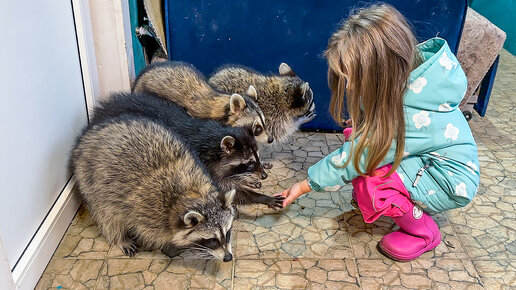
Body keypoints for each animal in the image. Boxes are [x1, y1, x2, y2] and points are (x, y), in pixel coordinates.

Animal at [70, 115, 236, 260]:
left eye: (228, 233)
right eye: (211, 240)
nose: (228, 258)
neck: (193, 193)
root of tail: (89, 133)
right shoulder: (147, 211)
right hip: (90, 178)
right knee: (106, 213)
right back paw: (119, 237)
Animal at [91, 92, 284, 207]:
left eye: (257, 157)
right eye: (249, 162)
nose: (264, 175)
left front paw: (247, 181)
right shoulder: (205, 165)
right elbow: (227, 189)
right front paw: (259, 196)